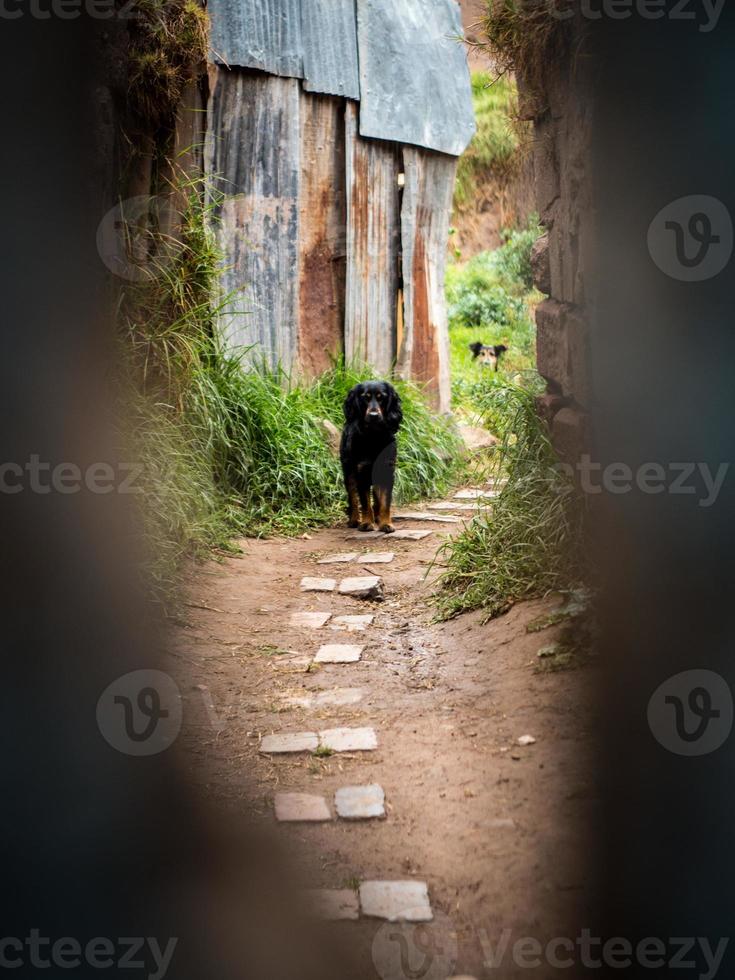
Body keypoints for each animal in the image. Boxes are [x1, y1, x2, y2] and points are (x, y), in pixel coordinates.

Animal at [342, 382, 406, 536]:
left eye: (381, 397)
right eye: (365, 397)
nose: (373, 415)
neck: (373, 436)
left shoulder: (386, 472)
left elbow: (385, 501)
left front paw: (386, 523)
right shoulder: (361, 472)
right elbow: (364, 501)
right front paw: (366, 523)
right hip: (348, 471)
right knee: (352, 497)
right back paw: (354, 520)